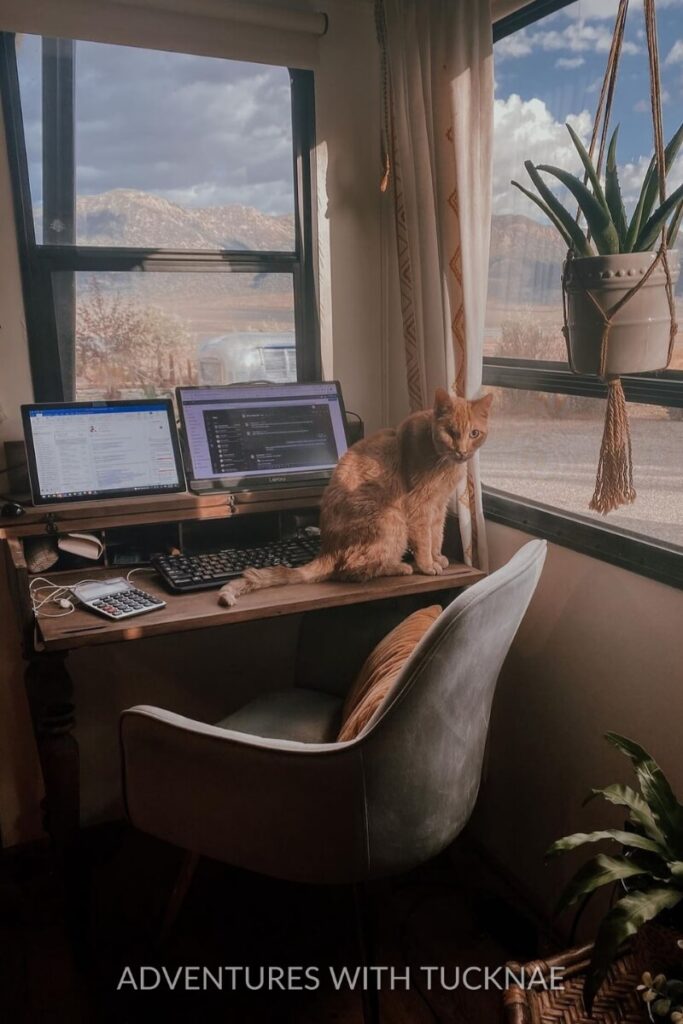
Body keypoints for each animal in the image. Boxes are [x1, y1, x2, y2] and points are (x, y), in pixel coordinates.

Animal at [219, 387, 491, 602]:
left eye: (474, 434)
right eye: (452, 432)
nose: (462, 451)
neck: (442, 460)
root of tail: (326, 549)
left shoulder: (438, 506)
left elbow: (437, 535)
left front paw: (438, 557)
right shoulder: (419, 506)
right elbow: (425, 539)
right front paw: (427, 565)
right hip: (392, 521)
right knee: (352, 570)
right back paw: (400, 567)